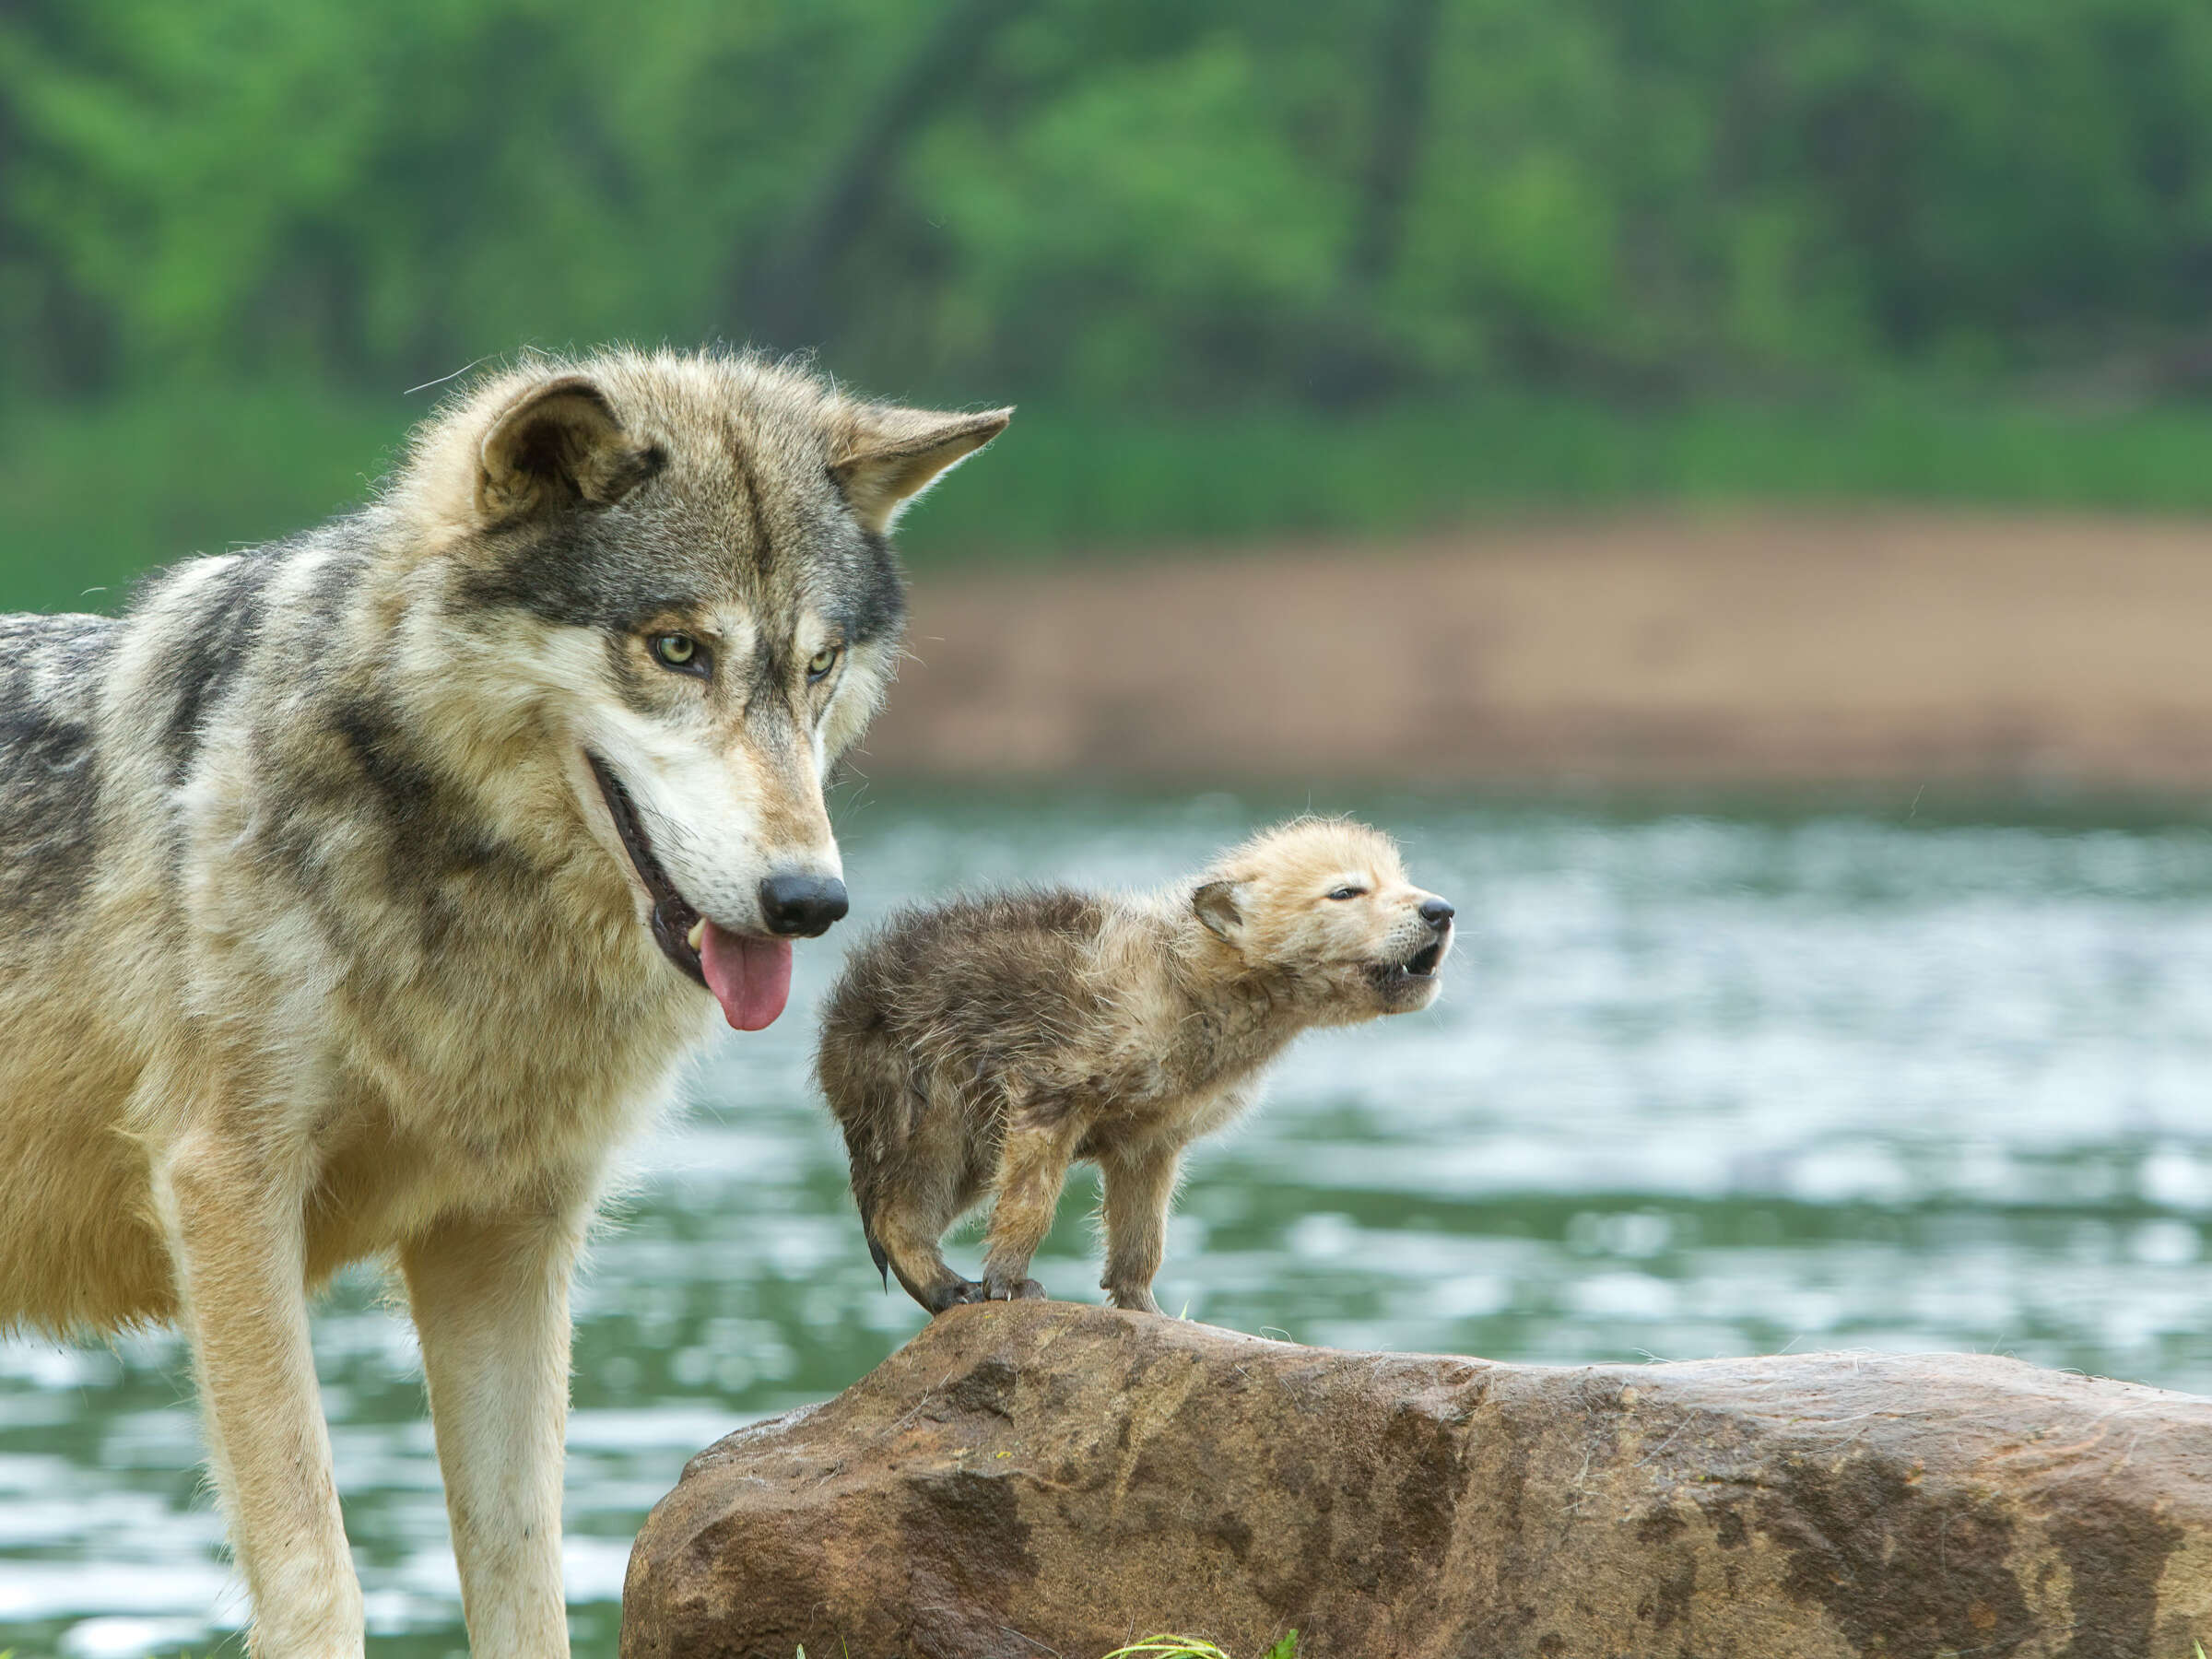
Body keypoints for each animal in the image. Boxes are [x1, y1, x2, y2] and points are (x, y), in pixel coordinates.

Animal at [0, 348, 1007, 1657]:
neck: (462, 885)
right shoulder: (226, 1191)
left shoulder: (507, 1238)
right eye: (677, 649)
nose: (810, 901)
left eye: (818, 665)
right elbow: (317, 1573)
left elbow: (525, 1570)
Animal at [816, 818, 1454, 1315]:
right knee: (901, 1209)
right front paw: (1009, 1281)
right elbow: (1029, 1196)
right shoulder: (1055, 1082)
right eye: (1346, 892)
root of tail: (839, 1019)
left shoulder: (1152, 1137)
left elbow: (1143, 1231)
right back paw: (948, 1286)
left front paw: (1145, 1305)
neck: (1190, 983)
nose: (1439, 909)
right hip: (925, 1092)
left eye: (1398, 878)